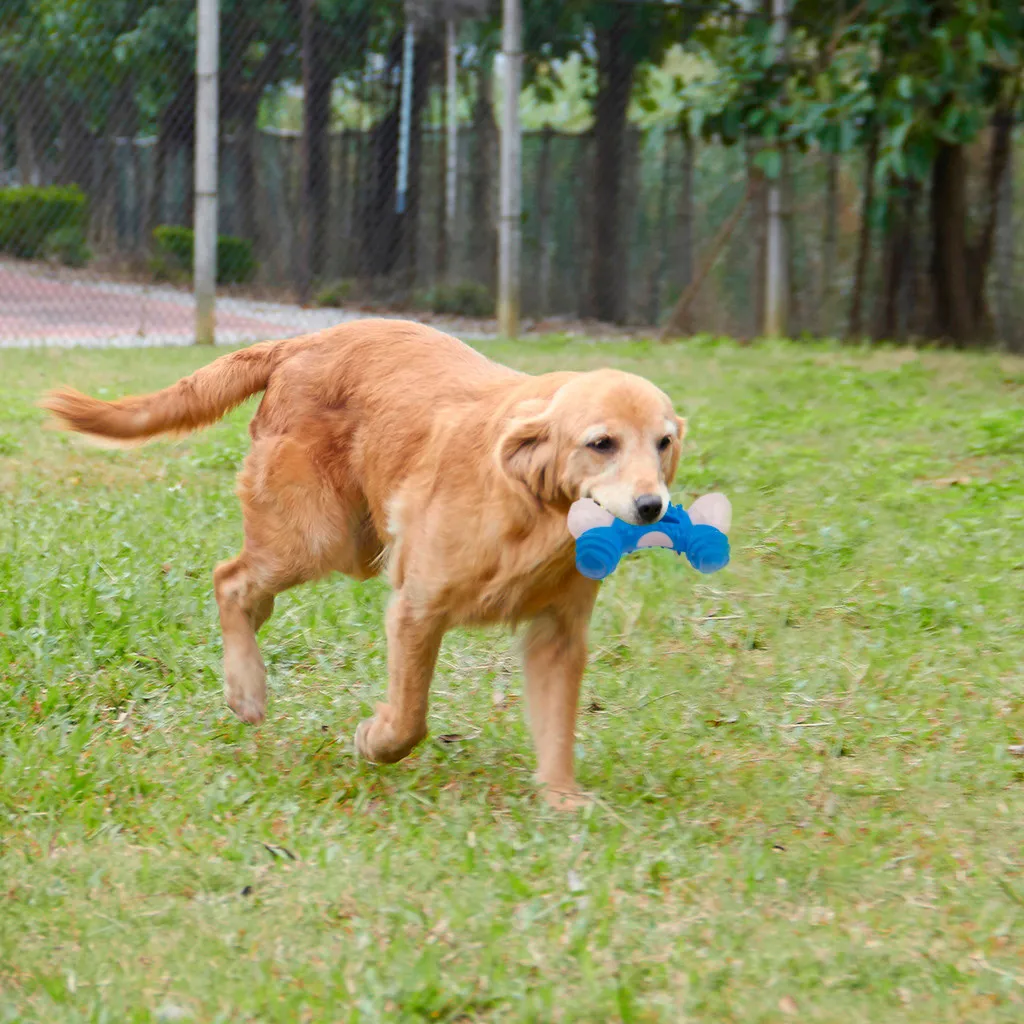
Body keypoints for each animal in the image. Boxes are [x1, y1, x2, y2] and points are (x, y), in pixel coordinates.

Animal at [39, 319, 684, 806]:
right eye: (601, 444)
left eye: (664, 443)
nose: (652, 507)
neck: (533, 506)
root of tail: (299, 342)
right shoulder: (417, 608)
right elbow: (410, 718)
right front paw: (375, 741)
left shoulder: (557, 634)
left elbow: (556, 726)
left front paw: (561, 797)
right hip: (317, 536)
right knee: (230, 579)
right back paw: (246, 688)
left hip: (348, 542)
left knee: (249, 592)